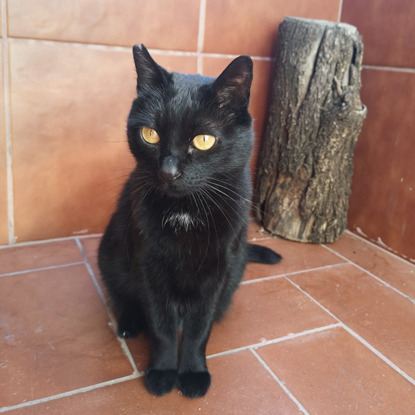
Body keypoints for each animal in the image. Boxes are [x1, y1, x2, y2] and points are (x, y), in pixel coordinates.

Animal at [98, 44, 282, 398]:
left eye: (203, 140)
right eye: (150, 135)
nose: (168, 171)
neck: (186, 212)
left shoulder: (217, 269)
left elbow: (199, 328)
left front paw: (194, 373)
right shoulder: (149, 265)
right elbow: (162, 326)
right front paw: (162, 372)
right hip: (110, 251)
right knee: (123, 295)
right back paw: (129, 323)